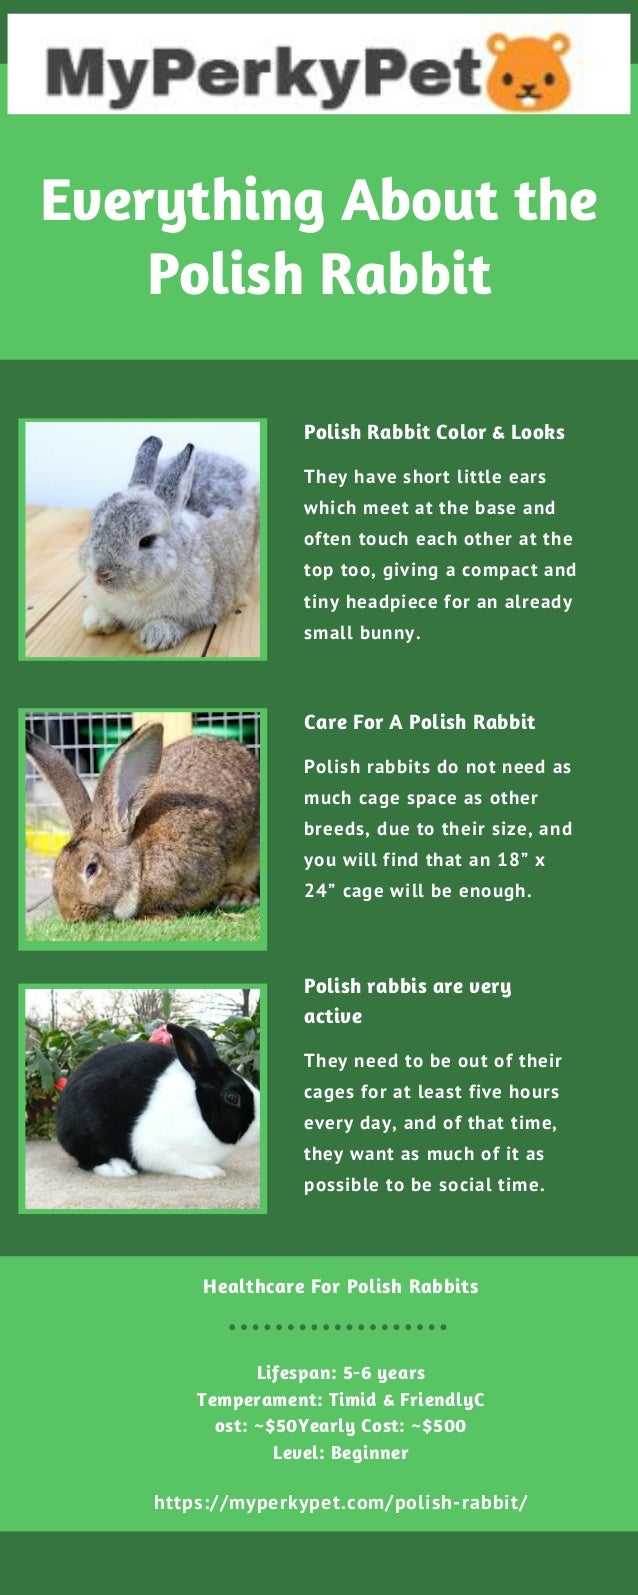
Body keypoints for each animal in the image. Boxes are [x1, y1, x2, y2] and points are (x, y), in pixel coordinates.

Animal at [25, 720, 260, 923]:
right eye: (57, 866)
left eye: (91, 869)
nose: (71, 915)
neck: (140, 858)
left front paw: (154, 916)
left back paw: (236, 896)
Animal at [55, 1022, 260, 1179]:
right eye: (232, 1097)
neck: (197, 1107)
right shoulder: (157, 1149)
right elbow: (182, 1164)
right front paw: (211, 1172)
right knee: (89, 1159)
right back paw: (119, 1169)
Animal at [79, 435, 260, 652]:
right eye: (94, 524)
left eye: (147, 541)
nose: (99, 575)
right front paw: (96, 622)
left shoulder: (202, 611)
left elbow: (176, 622)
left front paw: (151, 637)